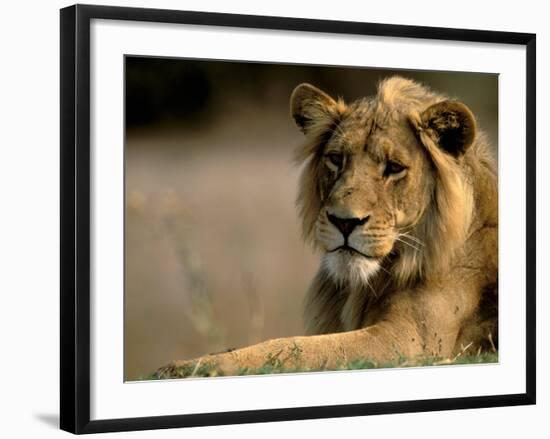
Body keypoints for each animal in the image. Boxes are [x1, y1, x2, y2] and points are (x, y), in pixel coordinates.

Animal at [156, 75, 500, 378]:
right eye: (336, 159)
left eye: (394, 168)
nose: (344, 221)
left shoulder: (413, 340)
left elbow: (293, 349)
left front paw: (189, 367)